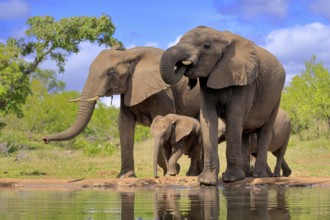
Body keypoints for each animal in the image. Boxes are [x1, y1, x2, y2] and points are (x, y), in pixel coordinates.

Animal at [42, 45, 200, 178]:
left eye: (111, 73)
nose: (45, 139)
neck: (129, 54)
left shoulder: (164, 93)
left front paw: (172, 171)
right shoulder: (128, 90)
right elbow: (124, 124)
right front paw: (125, 177)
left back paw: (192, 174)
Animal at [159, 24, 284, 185]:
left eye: (206, 46)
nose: (182, 65)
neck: (221, 35)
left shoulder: (244, 81)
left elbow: (233, 117)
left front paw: (231, 179)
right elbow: (208, 118)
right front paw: (206, 182)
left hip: (275, 98)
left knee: (264, 132)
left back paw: (258, 176)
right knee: (244, 135)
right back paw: (246, 176)